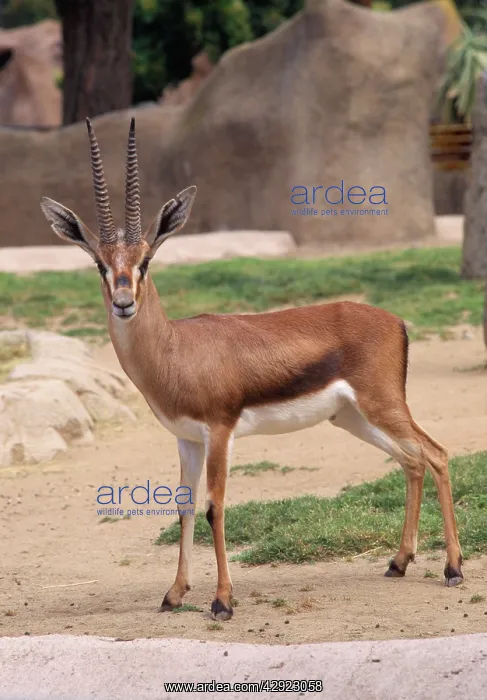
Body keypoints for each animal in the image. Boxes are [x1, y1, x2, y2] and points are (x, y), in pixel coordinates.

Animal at [40, 118, 464, 622]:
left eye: (145, 260)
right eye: (100, 265)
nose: (124, 303)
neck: (176, 349)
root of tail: (395, 321)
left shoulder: (220, 432)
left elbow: (215, 507)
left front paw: (222, 601)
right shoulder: (187, 439)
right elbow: (184, 507)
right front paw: (174, 594)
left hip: (382, 406)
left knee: (436, 454)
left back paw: (453, 570)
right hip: (352, 418)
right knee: (411, 461)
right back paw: (398, 563)